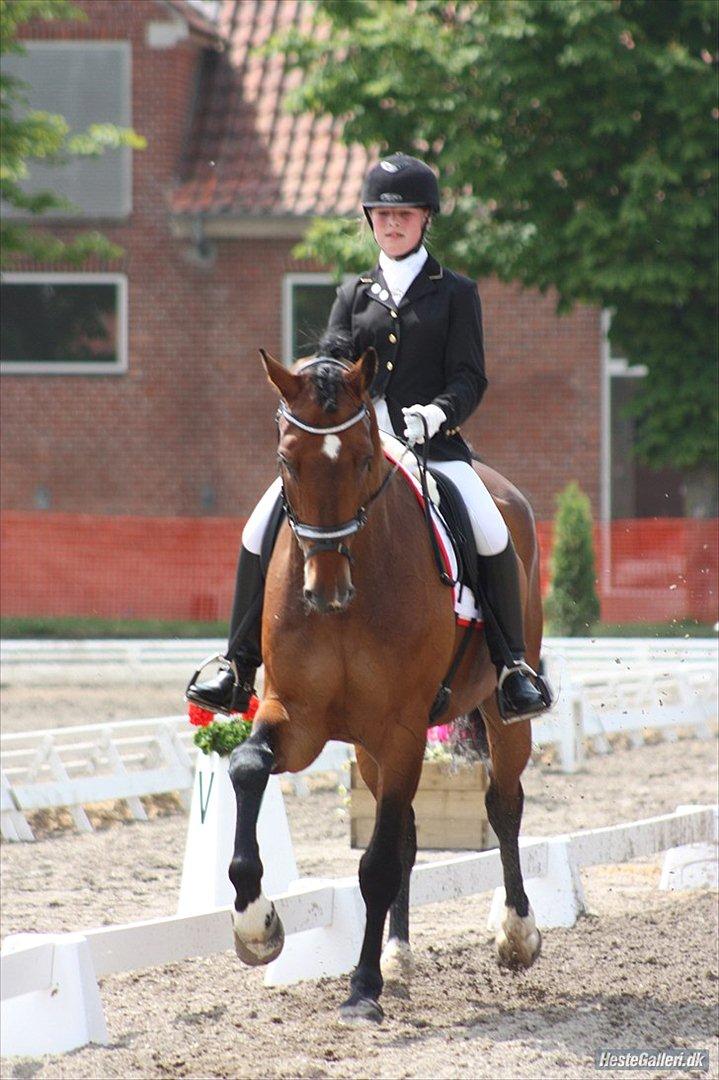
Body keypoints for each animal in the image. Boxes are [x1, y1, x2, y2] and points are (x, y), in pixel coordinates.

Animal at [226, 343, 539, 1019]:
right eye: (286, 461)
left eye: (365, 460)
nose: (325, 592)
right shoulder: (299, 718)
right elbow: (247, 766)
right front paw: (256, 925)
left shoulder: (401, 729)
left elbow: (376, 865)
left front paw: (361, 989)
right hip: (369, 748)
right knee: (409, 837)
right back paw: (398, 954)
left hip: (498, 715)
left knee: (504, 804)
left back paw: (516, 933)